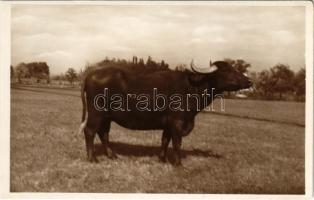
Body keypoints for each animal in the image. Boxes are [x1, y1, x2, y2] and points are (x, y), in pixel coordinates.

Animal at [78, 59, 253, 166]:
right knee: (90, 131)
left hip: (106, 117)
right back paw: (92, 158)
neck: (191, 87)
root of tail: (91, 74)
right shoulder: (177, 122)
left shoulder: (168, 124)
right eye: (226, 71)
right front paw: (178, 163)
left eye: (234, 68)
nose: (249, 81)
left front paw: (162, 159)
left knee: (103, 133)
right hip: (96, 114)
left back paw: (112, 155)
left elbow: (165, 140)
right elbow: (177, 143)